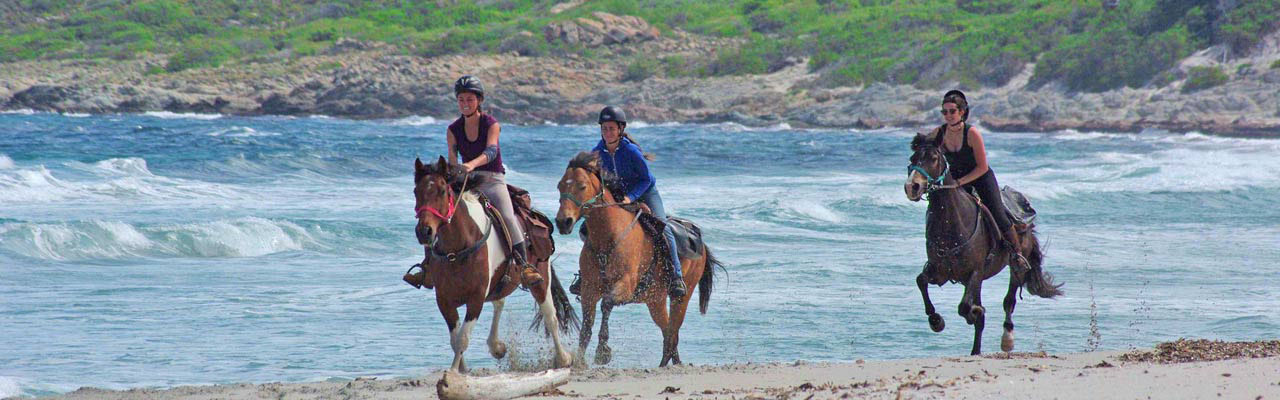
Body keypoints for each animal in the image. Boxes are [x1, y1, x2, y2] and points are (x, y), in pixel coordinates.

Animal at [413, 156, 576, 372]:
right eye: (416, 192)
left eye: (442, 191)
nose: (424, 232)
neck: (457, 249)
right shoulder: (444, 300)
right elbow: (455, 340)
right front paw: (462, 369)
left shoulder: (476, 298)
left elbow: (463, 338)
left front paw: (454, 373)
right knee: (500, 302)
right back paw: (496, 346)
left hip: (541, 279)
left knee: (550, 316)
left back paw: (563, 358)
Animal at [553, 152, 724, 367]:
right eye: (560, 185)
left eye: (582, 186)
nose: (563, 222)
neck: (609, 237)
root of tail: (699, 240)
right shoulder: (589, 289)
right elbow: (586, 326)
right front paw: (579, 362)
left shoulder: (625, 285)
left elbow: (606, 304)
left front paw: (603, 351)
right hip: (655, 300)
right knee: (668, 331)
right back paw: (671, 363)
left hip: (681, 297)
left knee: (673, 331)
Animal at [904, 133, 1062, 355]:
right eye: (913, 158)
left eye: (934, 158)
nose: (912, 187)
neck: (951, 222)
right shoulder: (940, 272)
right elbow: (921, 281)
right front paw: (936, 321)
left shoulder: (975, 272)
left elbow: (964, 307)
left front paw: (973, 313)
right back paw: (975, 349)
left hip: (1015, 266)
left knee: (1009, 300)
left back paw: (1006, 338)